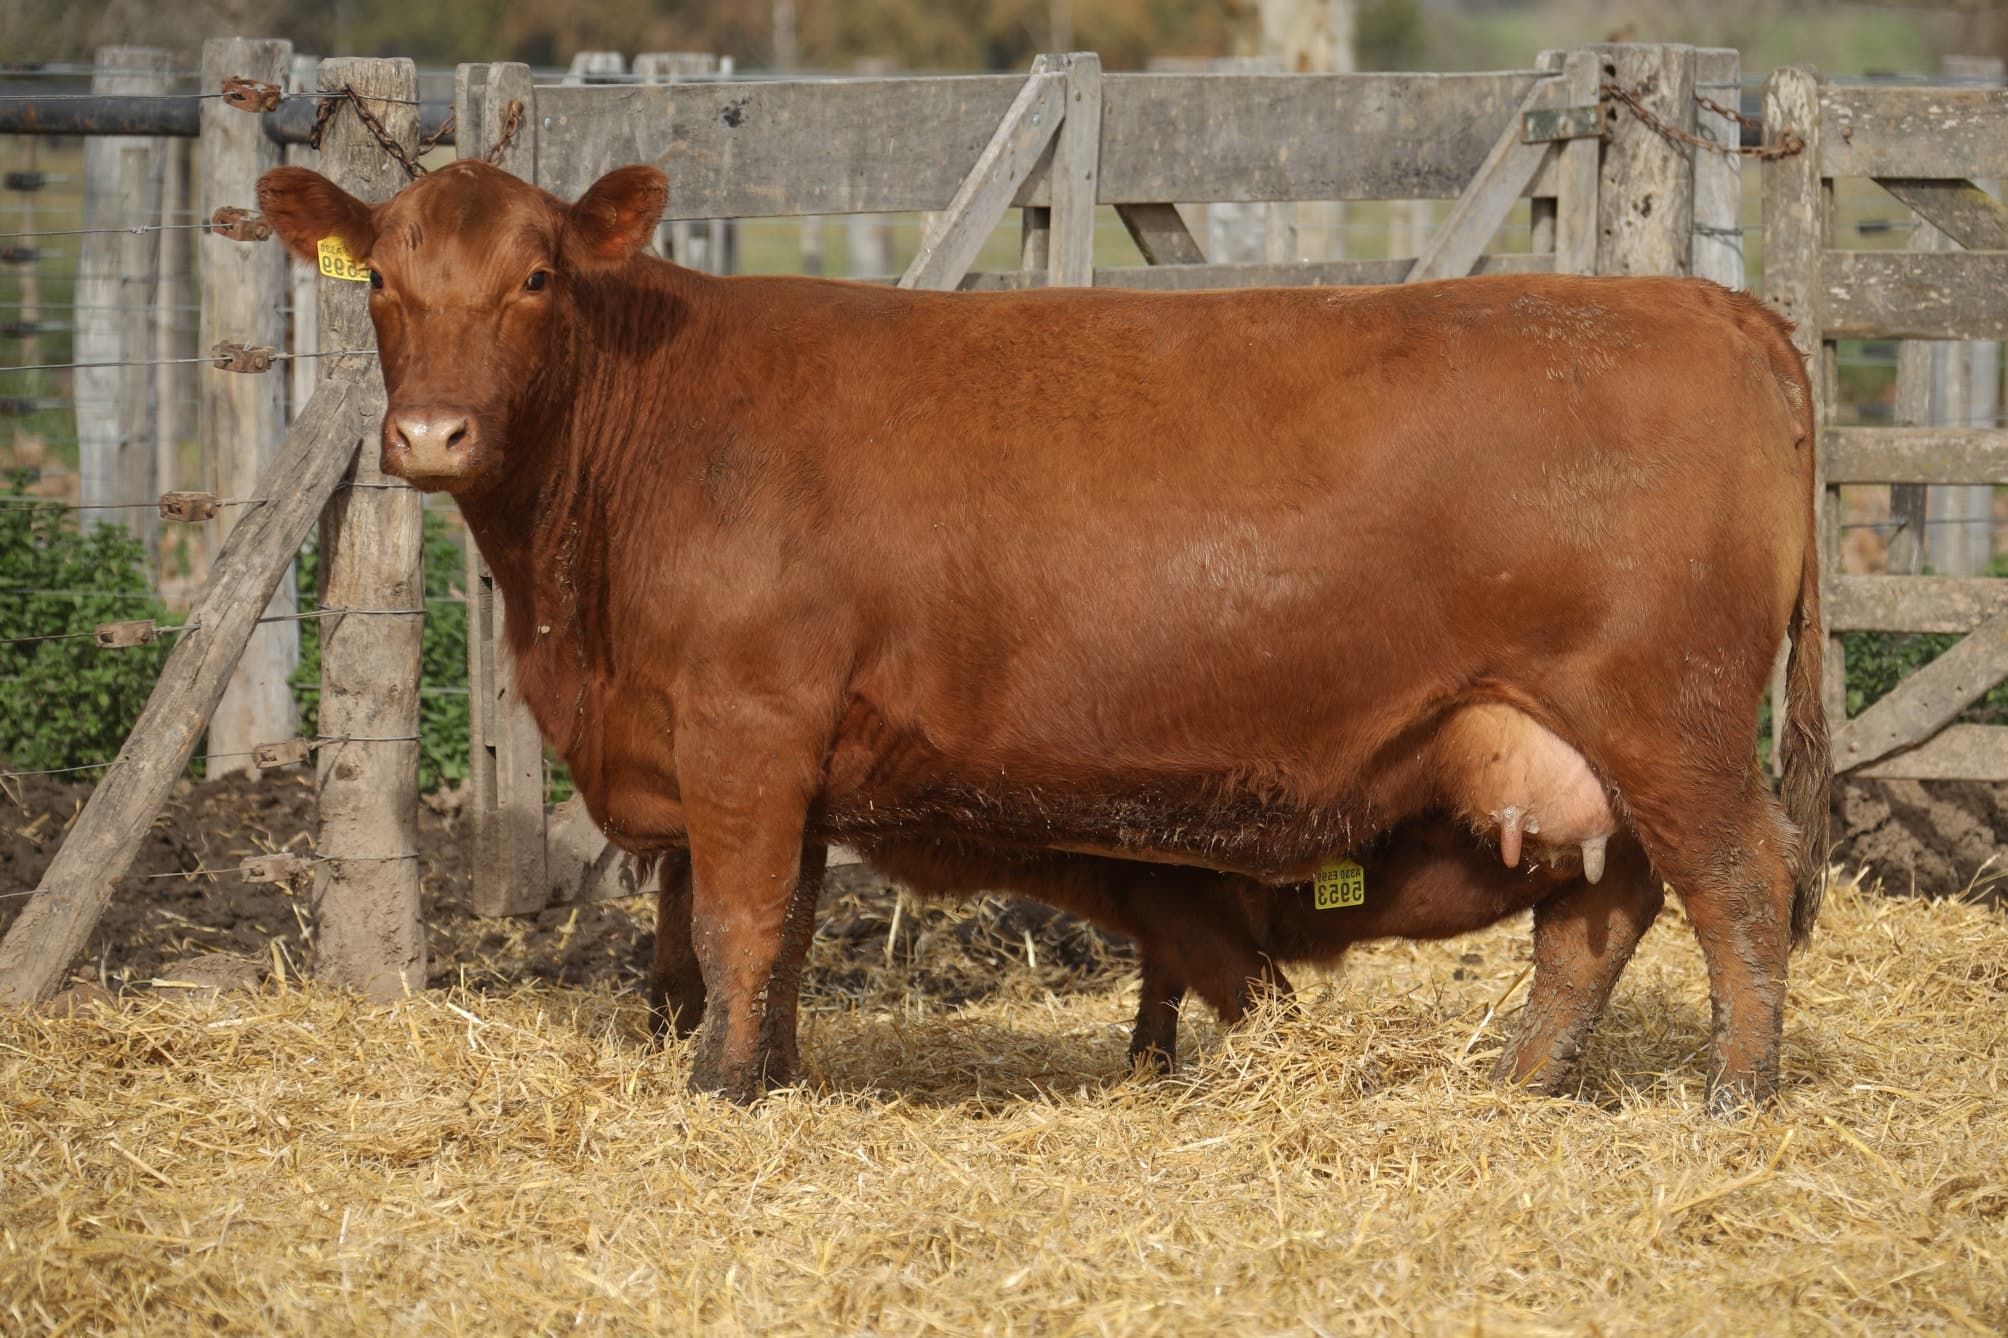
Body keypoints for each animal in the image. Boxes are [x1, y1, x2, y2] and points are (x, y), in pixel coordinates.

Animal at [258, 159, 1830, 1114]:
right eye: (381, 280)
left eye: (534, 279)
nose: (430, 434)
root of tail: (1706, 302)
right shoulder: (780, 762)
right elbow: (775, 934)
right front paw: (772, 1073)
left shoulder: (746, 730)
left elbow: (733, 921)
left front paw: (716, 1091)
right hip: (1580, 746)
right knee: (1599, 915)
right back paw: (1518, 1085)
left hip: (1668, 714)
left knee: (1741, 888)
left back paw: (1732, 1100)